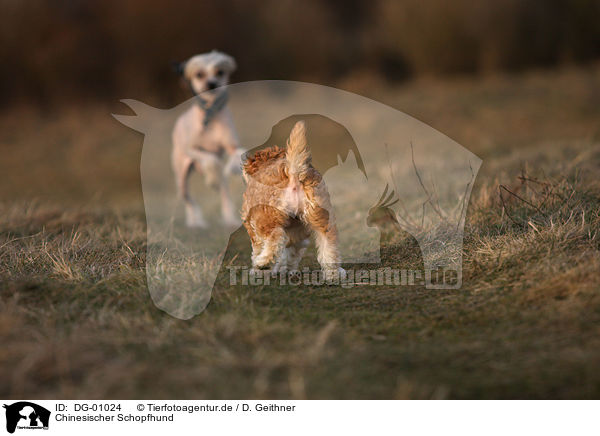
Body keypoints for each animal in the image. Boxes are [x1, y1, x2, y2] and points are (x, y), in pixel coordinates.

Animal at [171, 51, 244, 228]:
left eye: (220, 72)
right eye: (199, 74)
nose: (211, 83)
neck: (210, 114)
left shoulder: (231, 145)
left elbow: (238, 152)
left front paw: (233, 167)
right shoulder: (191, 149)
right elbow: (210, 159)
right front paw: (211, 177)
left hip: (223, 187)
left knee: (225, 195)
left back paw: (229, 219)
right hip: (181, 177)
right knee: (188, 199)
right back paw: (195, 222)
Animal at [241, 121, 344, 278]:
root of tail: (293, 172)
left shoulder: (253, 226)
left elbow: (259, 247)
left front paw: (259, 269)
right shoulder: (297, 234)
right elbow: (289, 253)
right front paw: (284, 269)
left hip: (266, 217)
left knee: (275, 238)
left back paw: (263, 264)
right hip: (320, 217)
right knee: (328, 245)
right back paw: (334, 274)